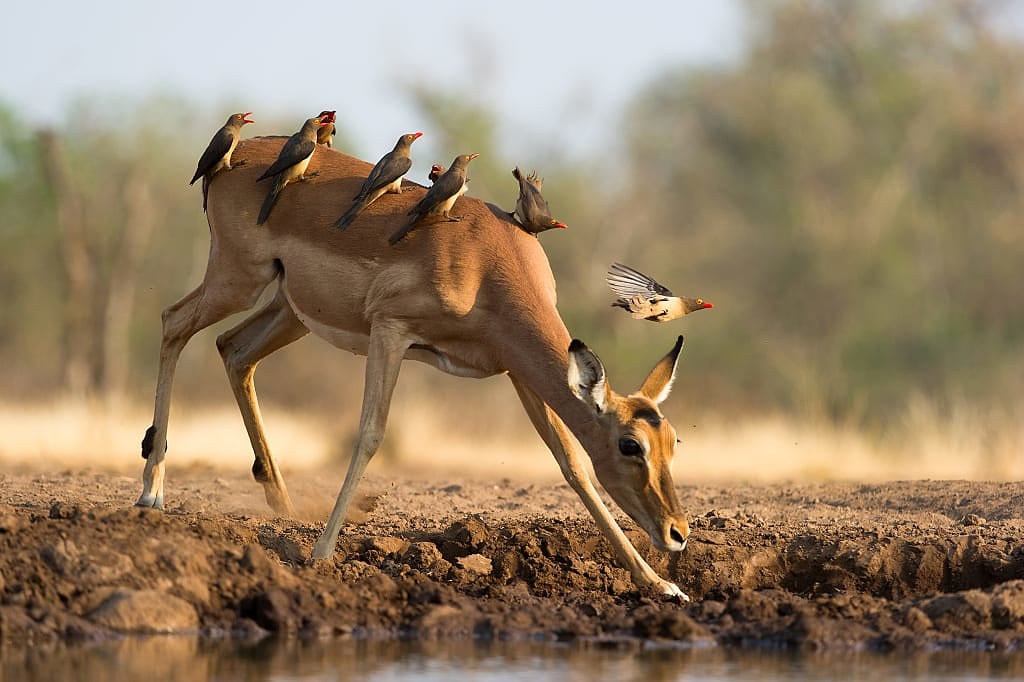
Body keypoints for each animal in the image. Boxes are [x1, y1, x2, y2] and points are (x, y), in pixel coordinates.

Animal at [137, 137, 693, 598]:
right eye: (630, 445)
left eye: (673, 442)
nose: (678, 533)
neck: (486, 265)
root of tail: (236, 153)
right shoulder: (391, 331)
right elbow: (369, 435)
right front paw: (321, 556)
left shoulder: (515, 369)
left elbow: (571, 463)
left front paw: (662, 586)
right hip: (237, 280)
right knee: (173, 322)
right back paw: (151, 493)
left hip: (288, 310)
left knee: (233, 349)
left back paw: (283, 505)